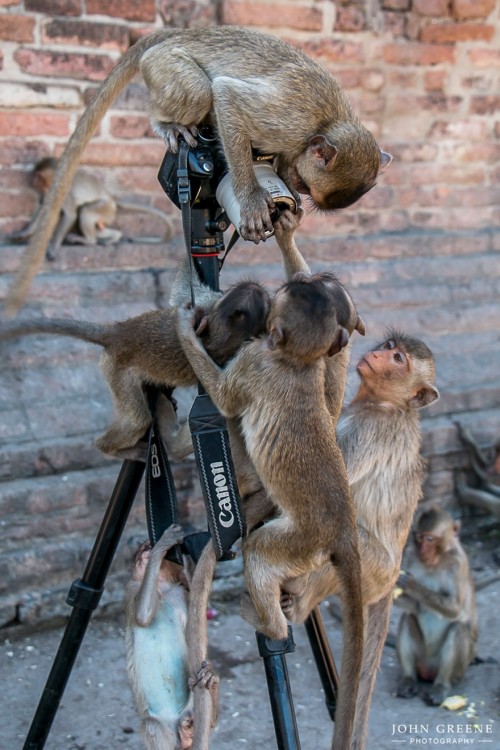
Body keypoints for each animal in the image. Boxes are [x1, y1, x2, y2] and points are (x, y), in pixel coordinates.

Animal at [0, 266, 270, 458]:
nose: (257, 286)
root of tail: (119, 332)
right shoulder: (205, 306)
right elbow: (184, 289)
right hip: (116, 367)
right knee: (137, 420)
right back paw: (107, 448)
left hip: (115, 368)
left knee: (136, 420)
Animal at [5, 25, 392, 314]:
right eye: (310, 188)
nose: (298, 187)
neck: (328, 122)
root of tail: (184, 32)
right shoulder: (289, 122)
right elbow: (228, 96)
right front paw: (252, 198)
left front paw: (285, 206)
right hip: (164, 64)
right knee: (199, 90)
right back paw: (166, 124)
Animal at [126, 524, 218, 748]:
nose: (144, 545)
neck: (161, 590)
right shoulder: (132, 590)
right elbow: (142, 615)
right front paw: (162, 545)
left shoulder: (180, 594)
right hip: (162, 727)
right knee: (152, 725)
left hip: (189, 709)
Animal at [282, 328, 442, 750]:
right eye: (390, 348)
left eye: (399, 359)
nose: (378, 355)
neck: (388, 406)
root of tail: (394, 576)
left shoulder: (371, 428)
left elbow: (325, 483)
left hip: (372, 569)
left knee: (339, 535)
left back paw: (298, 605)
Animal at [394, 506, 476, 712]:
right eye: (419, 536)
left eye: (430, 539)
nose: (423, 550)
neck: (435, 562)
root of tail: (428, 672)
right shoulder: (411, 554)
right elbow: (415, 607)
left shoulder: (458, 563)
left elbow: (455, 609)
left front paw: (412, 584)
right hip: (421, 659)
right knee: (408, 618)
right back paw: (408, 679)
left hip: (457, 670)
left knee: (458, 628)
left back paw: (440, 686)